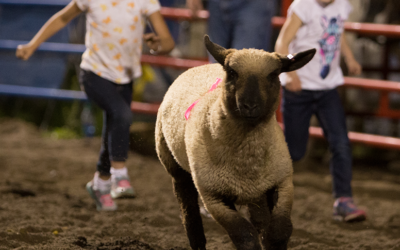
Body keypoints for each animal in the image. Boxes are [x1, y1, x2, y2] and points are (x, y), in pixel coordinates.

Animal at [156, 35, 316, 250]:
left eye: (274, 74)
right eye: (232, 72)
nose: (250, 105)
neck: (245, 161)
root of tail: (199, 66)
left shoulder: (282, 183)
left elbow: (279, 231)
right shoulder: (212, 195)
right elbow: (244, 235)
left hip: (258, 191)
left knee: (261, 218)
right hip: (176, 169)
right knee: (189, 214)